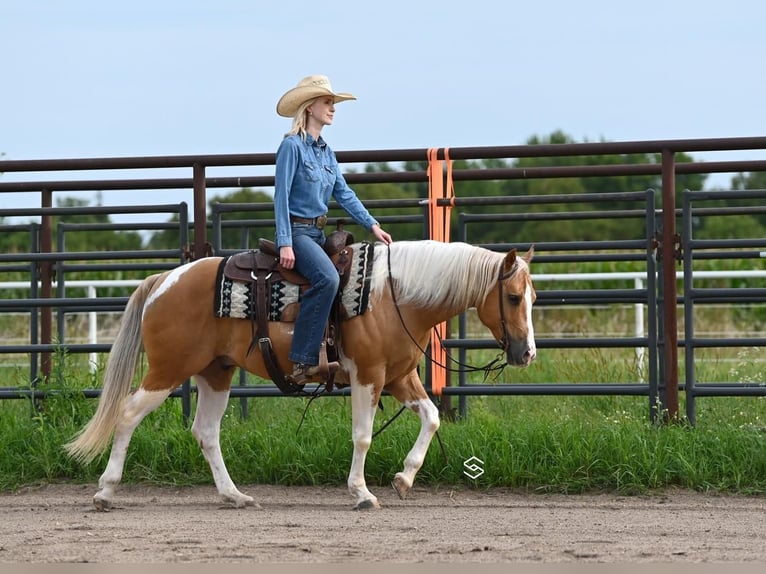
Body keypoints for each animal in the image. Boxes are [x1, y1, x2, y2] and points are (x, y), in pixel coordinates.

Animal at [66, 241, 536, 510]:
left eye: (532, 297)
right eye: (513, 297)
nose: (527, 353)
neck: (395, 295)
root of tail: (166, 279)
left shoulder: (400, 378)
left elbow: (432, 417)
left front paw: (404, 479)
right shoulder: (368, 376)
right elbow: (363, 436)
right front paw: (362, 493)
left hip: (215, 372)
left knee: (206, 432)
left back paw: (234, 496)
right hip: (168, 369)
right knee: (128, 414)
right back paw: (105, 492)